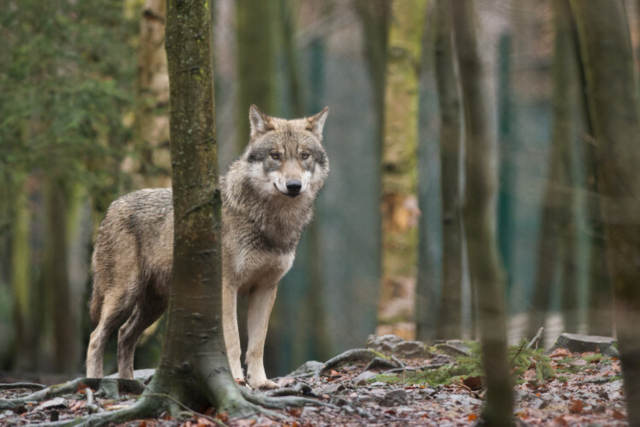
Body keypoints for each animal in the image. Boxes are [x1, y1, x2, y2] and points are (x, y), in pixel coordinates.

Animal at [86, 105, 330, 390]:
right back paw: (94, 382)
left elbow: (257, 344)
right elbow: (233, 341)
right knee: (96, 337)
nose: (293, 186)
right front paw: (236, 379)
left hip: (154, 305)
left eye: (304, 156)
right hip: (124, 296)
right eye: (275, 155)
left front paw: (260, 382)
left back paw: (128, 384)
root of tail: (111, 208)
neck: (270, 222)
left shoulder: (266, 288)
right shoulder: (226, 287)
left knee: (125, 335)